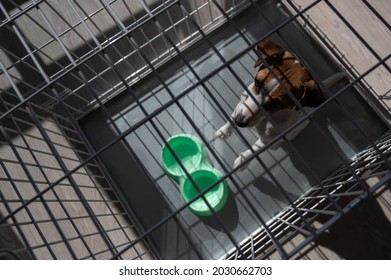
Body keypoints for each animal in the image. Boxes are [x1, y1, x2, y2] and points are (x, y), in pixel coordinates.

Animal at [216, 39, 344, 171]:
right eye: (258, 82)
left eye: (277, 104)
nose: (240, 121)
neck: (268, 119)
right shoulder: (240, 105)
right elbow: (231, 120)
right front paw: (224, 130)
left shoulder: (268, 140)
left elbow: (254, 149)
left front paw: (243, 161)